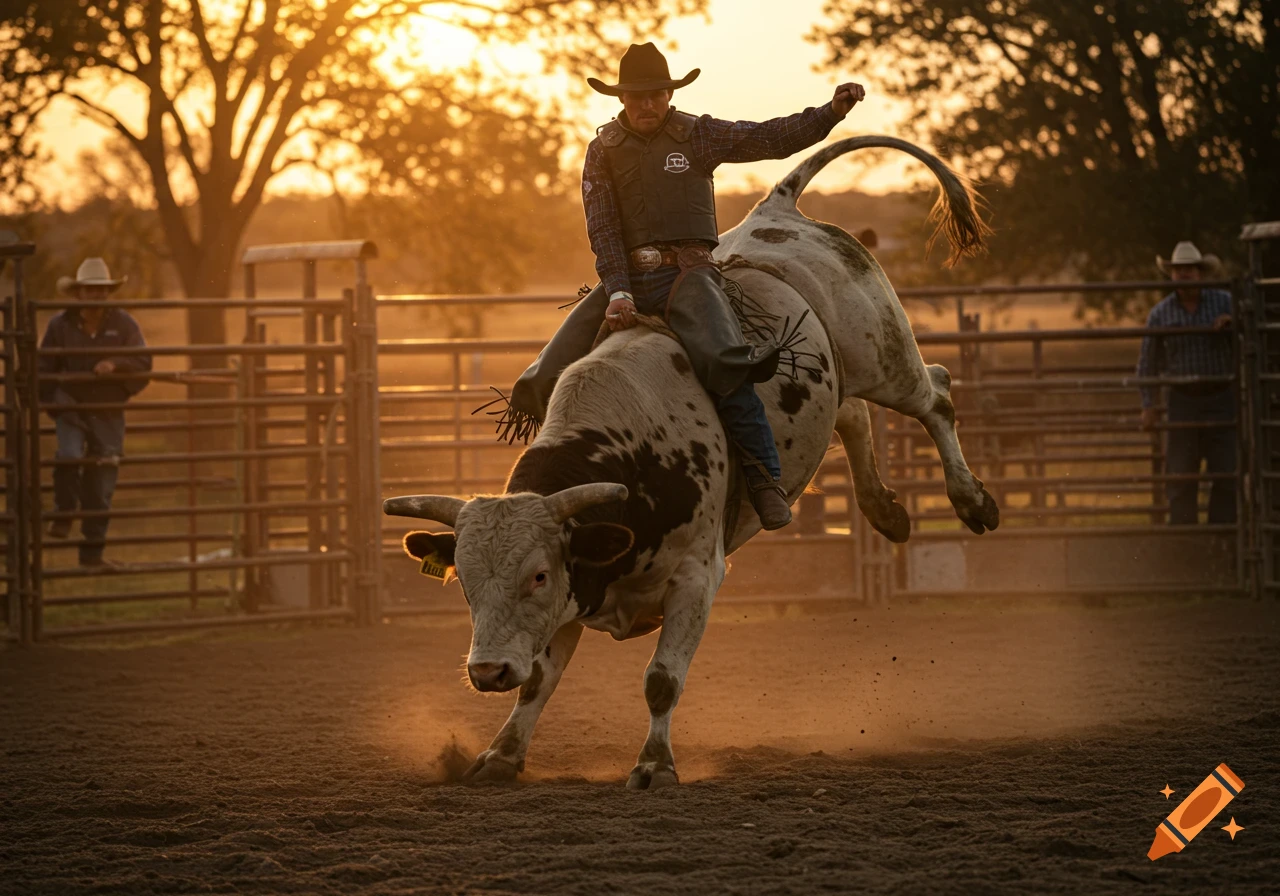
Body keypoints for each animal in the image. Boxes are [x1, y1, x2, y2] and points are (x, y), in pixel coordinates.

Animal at [384, 136, 998, 789]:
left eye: (539, 575)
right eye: (465, 580)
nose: (488, 672)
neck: (638, 453)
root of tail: (778, 211)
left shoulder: (696, 579)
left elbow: (660, 680)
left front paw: (654, 765)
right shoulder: (581, 587)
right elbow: (540, 684)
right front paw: (499, 756)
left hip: (883, 354)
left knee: (935, 394)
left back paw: (973, 502)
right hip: (839, 380)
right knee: (853, 415)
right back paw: (886, 512)